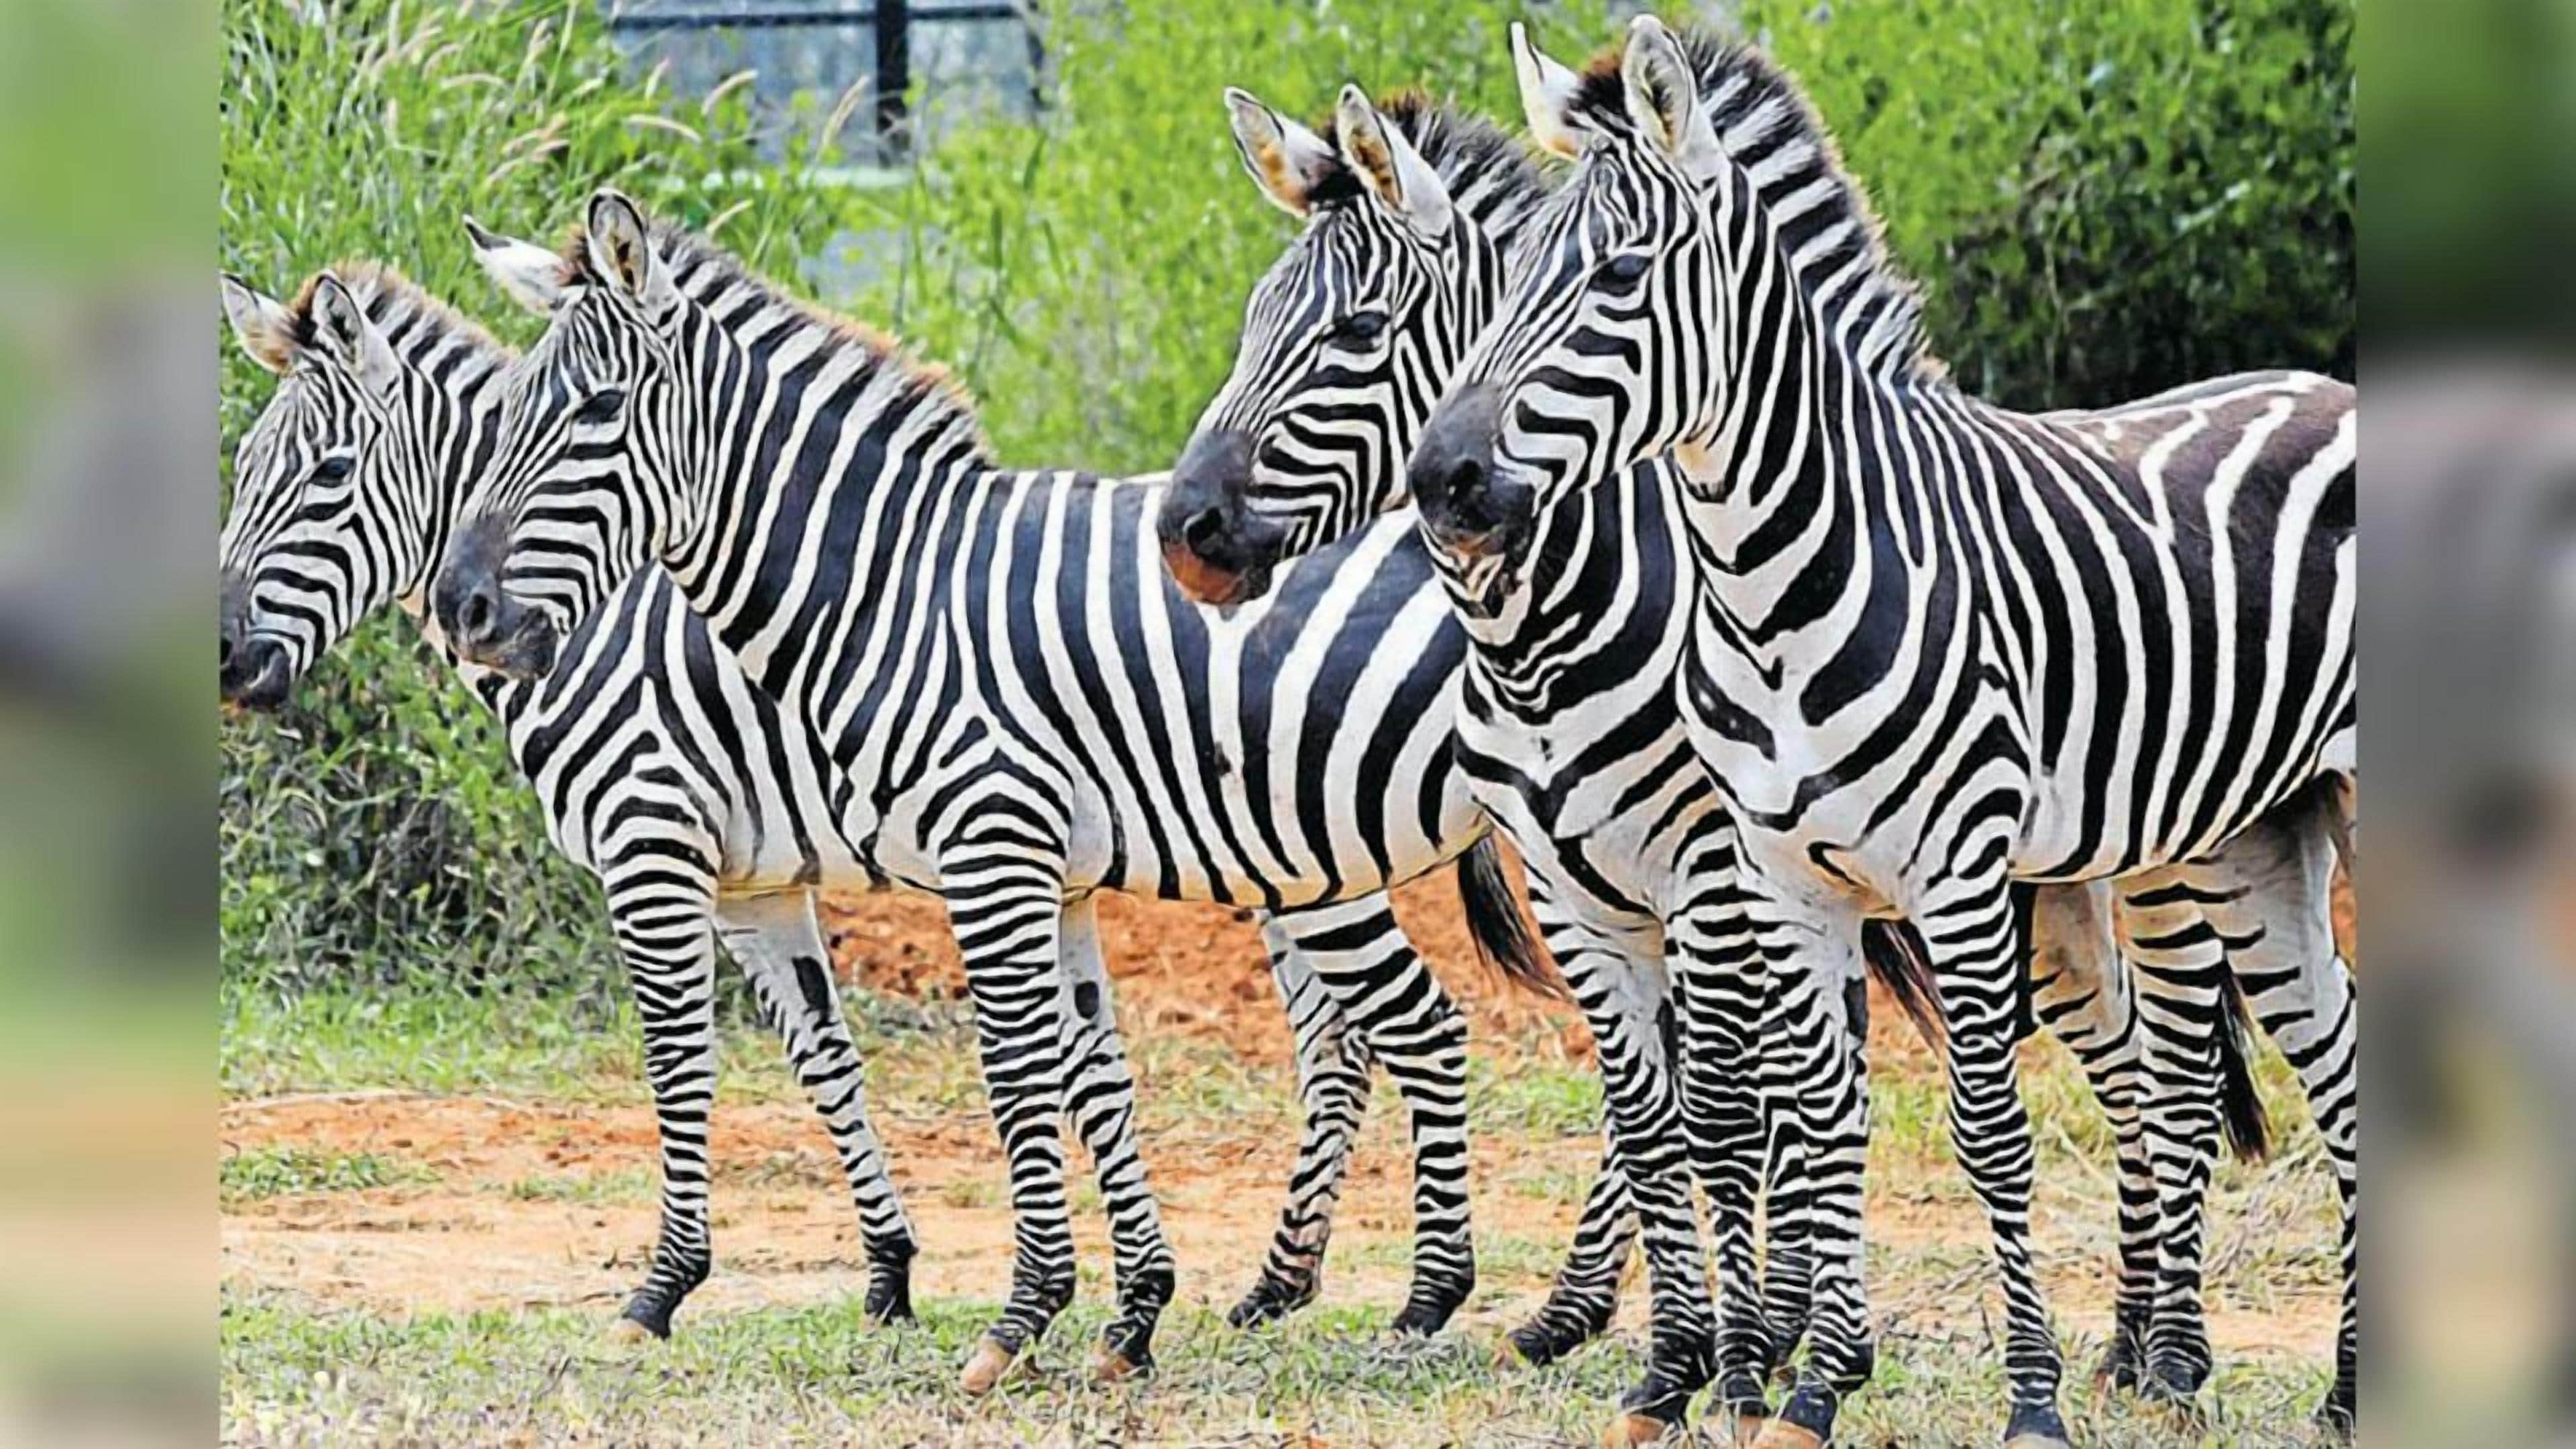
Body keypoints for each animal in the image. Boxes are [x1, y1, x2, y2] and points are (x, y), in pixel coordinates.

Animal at [215, 262, 1569, 1355]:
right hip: (1303, 861)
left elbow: (680, 1064)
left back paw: (1432, 1300)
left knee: (1416, 1029)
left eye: (327, 476)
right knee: (1351, 1044)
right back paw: (1294, 1288)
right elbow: (831, 1061)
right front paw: (895, 1274)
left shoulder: (657, 848)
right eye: (245, 474)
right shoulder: (763, 885)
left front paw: (663, 1290)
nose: (221, 658)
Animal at [1156, 82, 2307, 1436]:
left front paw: (1750, 1353)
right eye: (1254, 322)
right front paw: (1735, 1345)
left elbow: (1735, 1109)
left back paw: (2171, 1357)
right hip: (2052, 885)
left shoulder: (1716, 867)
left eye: (1356, 331)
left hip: (2166, 854)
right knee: (2122, 1059)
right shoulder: (1595, 875)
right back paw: (2124, 1343)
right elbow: (1693, 1106)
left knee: (2176, 1070)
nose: (1183, 530)